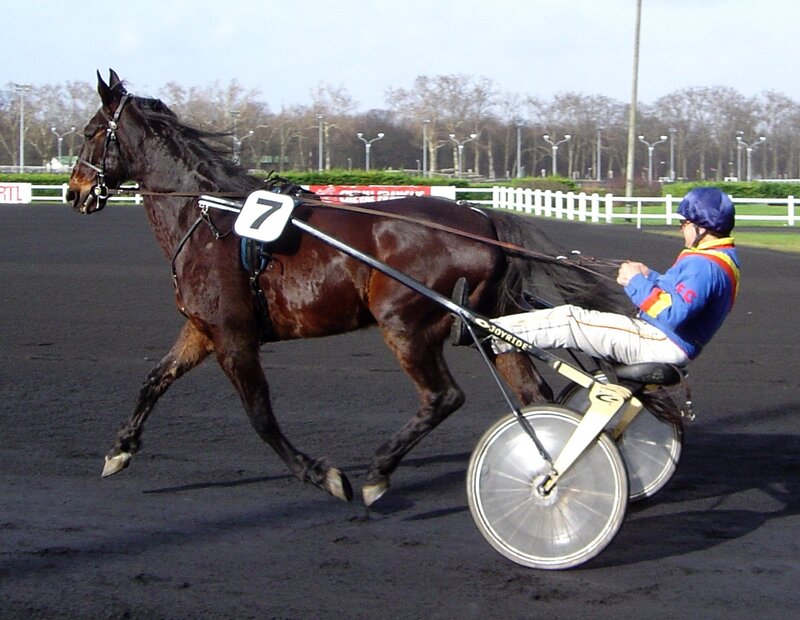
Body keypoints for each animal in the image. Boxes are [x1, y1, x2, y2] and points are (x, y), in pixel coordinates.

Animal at [67, 70, 629, 506]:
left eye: (91, 131)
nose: (75, 192)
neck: (209, 219)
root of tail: (483, 219)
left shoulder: (234, 336)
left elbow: (261, 416)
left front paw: (325, 475)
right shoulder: (203, 330)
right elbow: (154, 380)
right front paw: (119, 449)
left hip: (405, 322)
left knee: (442, 396)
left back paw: (380, 471)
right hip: (489, 328)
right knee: (531, 393)